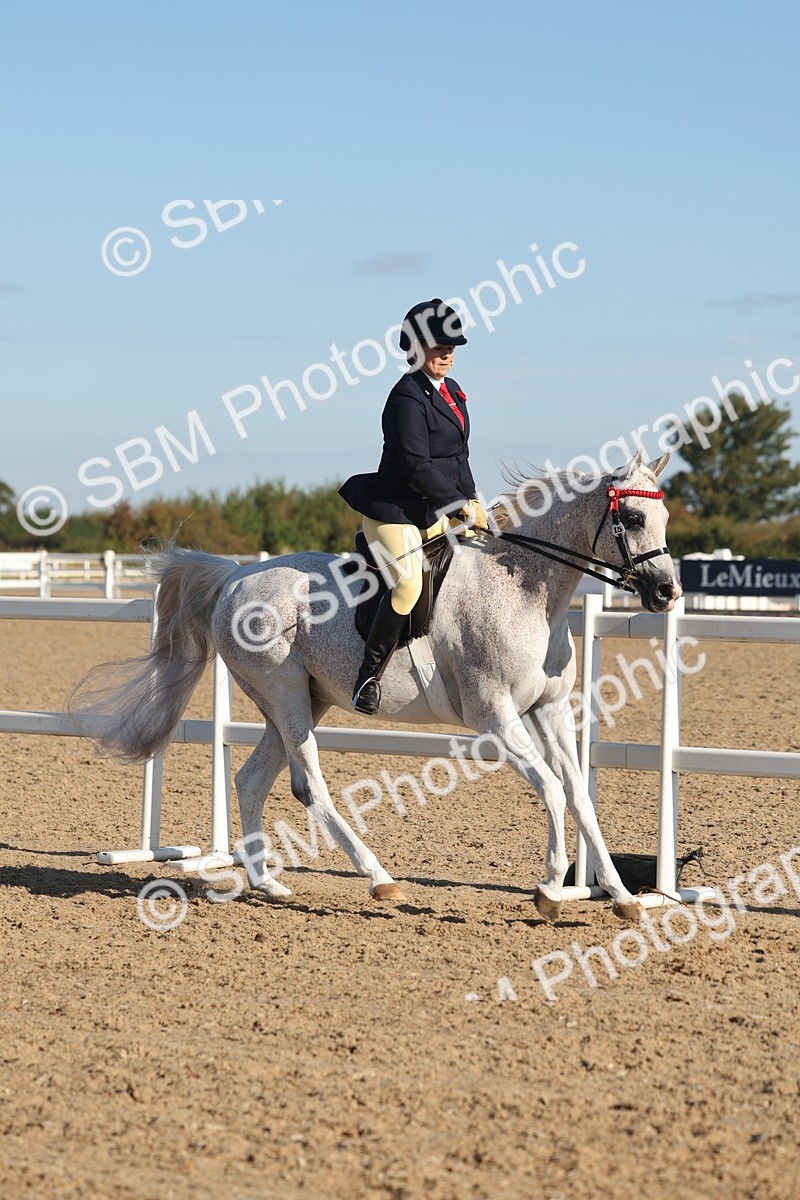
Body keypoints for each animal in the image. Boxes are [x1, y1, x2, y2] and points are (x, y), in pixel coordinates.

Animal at [69, 450, 680, 923]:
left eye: (665, 515)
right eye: (630, 516)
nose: (667, 593)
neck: (524, 590)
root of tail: (236, 577)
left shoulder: (548, 710)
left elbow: (580, 797)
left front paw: (624, 899)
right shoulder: (495, 717)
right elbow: (552, 789)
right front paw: (551, 889)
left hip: (302, 700)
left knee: (251, 780)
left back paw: (267, 883)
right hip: (285, 696)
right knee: (309, 786)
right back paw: (379, 879)